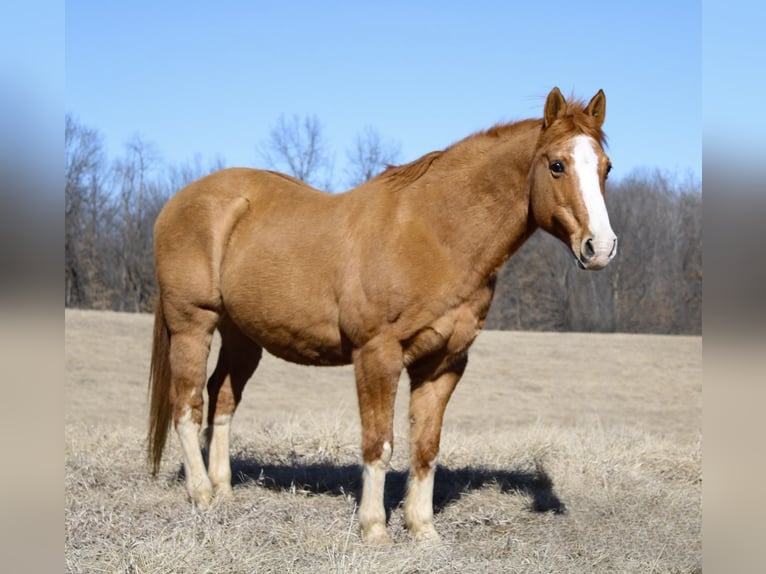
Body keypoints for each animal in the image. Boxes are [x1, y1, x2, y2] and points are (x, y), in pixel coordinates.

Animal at [147, 87, 617, 543]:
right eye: (557, 165)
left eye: (606, 168)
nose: (600, 248)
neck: (435, 235)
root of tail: (177, 202)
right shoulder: (377, 355)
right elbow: (379, 444)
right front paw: (375, 529)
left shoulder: (443, 363)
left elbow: (426, 446)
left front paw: (423, 529)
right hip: (193, 324)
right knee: (187, 405)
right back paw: (202, 495)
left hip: (243, 336)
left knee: (222, 399)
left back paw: (224, 490)